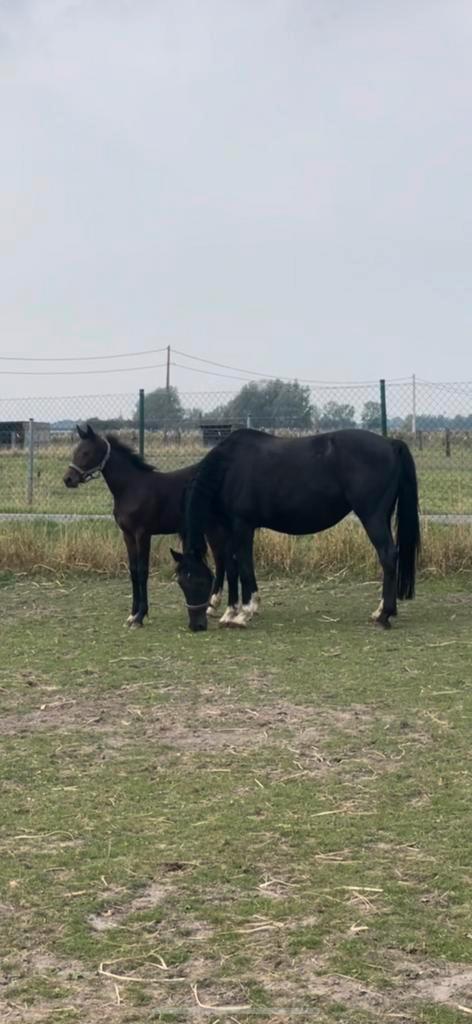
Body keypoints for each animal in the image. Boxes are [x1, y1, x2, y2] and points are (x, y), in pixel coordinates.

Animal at [63, 424, 237, 630]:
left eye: (86, 452)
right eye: (75, 451)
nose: (68, 479)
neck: (131, 487)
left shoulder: (143, 534)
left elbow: (143, 571)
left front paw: (140, 617)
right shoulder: (128, 535)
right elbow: (133, 571)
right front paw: (132, 615)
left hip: (216, 527)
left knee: (224, 560)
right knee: (220, 559)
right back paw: (212, 606)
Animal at [172, 427, 421, 631]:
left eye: (200, 581)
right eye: (181, 582)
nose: (196, 625)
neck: (229, 467)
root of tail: (391, 443)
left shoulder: (243, 526)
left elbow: (244, 565)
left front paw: (244, 613)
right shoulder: (227, 528)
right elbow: (231, 567)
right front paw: (230, 613)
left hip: (372, 517)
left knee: (388, 556)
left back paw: (385, 615)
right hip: (383, 516)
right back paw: (379, 611)